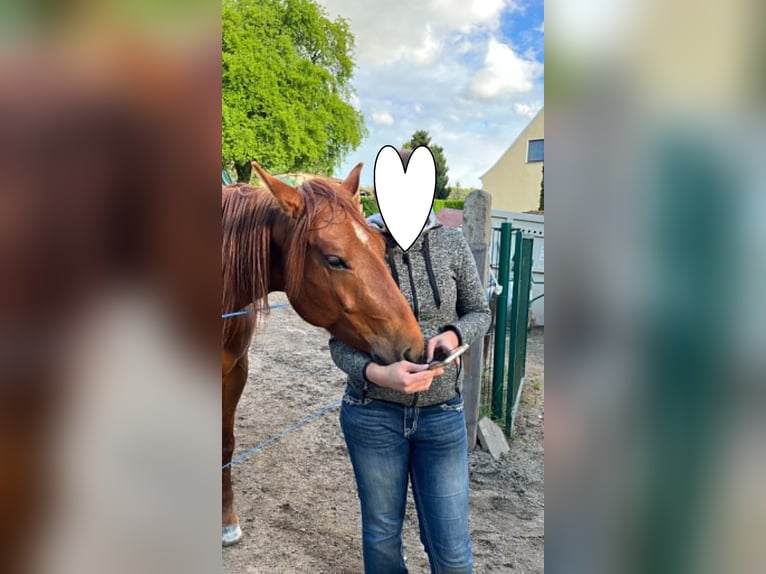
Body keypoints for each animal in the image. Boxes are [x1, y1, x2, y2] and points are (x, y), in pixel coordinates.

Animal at [221, 161, 424, 546]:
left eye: (380, 243)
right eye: (334, 259)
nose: (414, 347)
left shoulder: (234, 371)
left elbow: (225, 445)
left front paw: (226, 519)